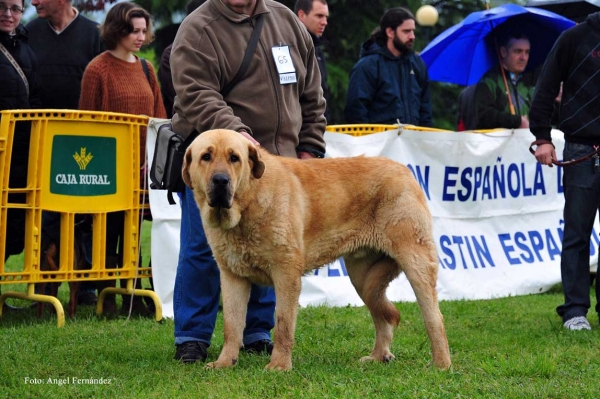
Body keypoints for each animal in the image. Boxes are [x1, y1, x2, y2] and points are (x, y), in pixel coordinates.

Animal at [183, 129, 450, 372]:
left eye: (234, 158)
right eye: (206, 157)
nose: (220, 180)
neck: (248, 203)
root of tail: (405, 170)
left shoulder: (286, 274)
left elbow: (283, 324)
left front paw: (279, 366)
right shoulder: (232, 276)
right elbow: (232, 324)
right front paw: (224, 363)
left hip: (415, 262)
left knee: (434, 317)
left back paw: (441, 364)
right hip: (363, 278)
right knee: (381, 316)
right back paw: (378, 356)